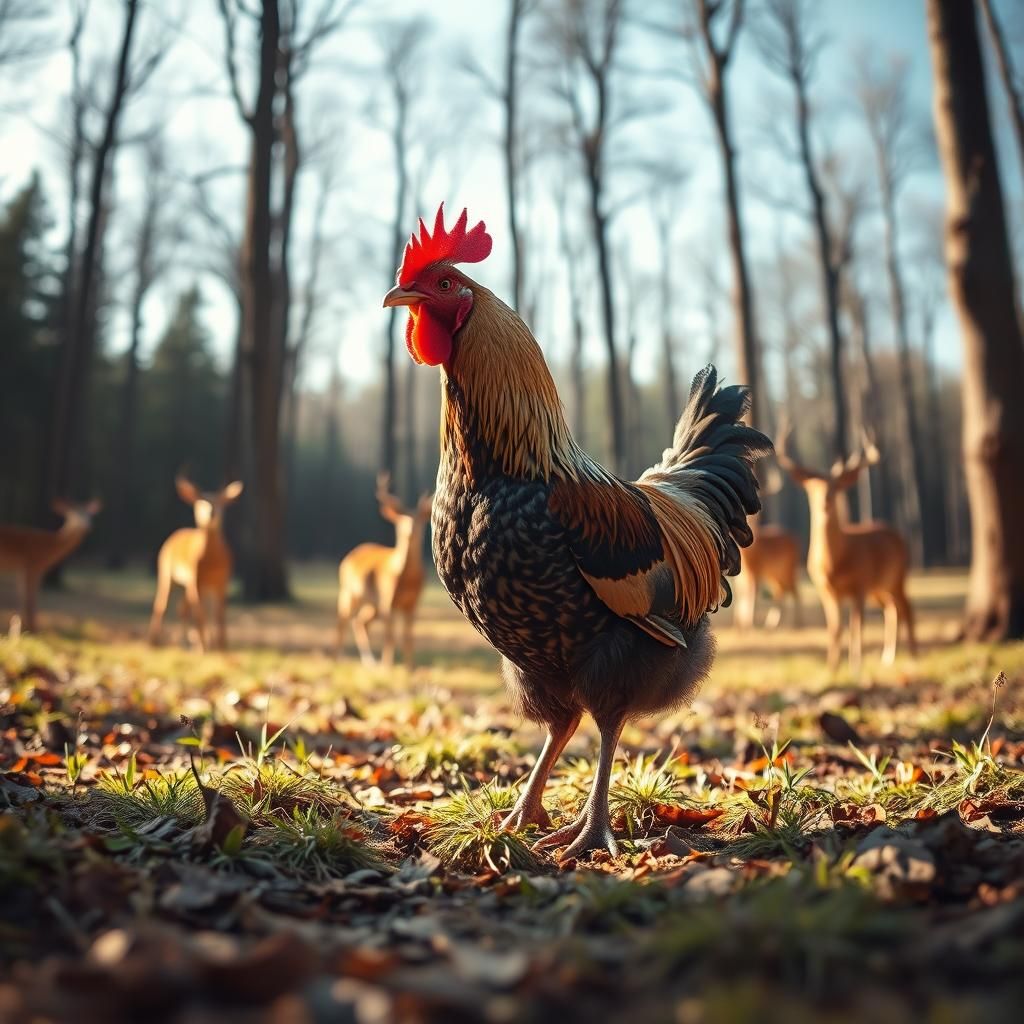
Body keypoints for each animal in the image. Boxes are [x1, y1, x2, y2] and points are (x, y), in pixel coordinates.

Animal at [0, 500, 101, 633]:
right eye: (73, 515)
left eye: (89, 515)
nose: (87, 526)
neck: (48, 548)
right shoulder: (32, 566)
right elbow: (29, 599)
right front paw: (31, 629)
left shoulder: (23, 569)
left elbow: (25, 598)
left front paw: (24, 628)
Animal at [148, 477, 243, 653]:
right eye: (200, 502)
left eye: (220, 502)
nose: (212, 513)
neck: (211, 562)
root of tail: (174, 536)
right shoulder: (196, 580)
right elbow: (200, 613)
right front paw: (203, 648)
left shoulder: (222, 581)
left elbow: (219, 614)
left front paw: (221, 646)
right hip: (167, 572)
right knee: (162, 604)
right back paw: (155, 642)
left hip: (190, 584)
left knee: (184, 609)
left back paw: (186, 642)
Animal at [337, 473, 432, 669]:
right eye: (401, 519)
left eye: (419, 520)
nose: (410, 531)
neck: (405, 578)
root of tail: (350, 555)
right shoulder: (388, 599)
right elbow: (390, 637)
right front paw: (387, 666)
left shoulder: (413, 603)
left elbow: (408, 638)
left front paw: (409, 668)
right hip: (349, 591)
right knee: (342, 621)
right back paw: (338, 659)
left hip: (372, 603)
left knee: (360, 622)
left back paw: (369, 662)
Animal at [777, 423, 916, 675]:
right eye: (812, 487)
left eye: (836, 486)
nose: (825, 501)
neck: (834, 564)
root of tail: (897, 534)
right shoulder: (826, 590)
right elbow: (834, 628)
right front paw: (832, 667)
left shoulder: (859, 585)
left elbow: (855, 626)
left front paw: (855, 666)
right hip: (879, 588)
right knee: (892, 609)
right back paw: (888, 658)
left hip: (898, 576)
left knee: (907, 608)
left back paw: (912, 655)